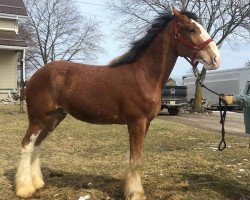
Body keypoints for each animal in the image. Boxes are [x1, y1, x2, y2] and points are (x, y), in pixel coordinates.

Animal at [15, 7, 219, 199]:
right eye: (192, 29)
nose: (216, 59)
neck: (143, 75)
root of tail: (34, 76)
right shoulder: (136, 122)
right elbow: (136, 159)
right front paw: (136, 193)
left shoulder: (145, 124)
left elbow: (133, 158)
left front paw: (128, 189)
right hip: (39, 118)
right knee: (26, 145)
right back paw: (25, 189)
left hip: (54, 117)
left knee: (37, 145)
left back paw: (37, 183)